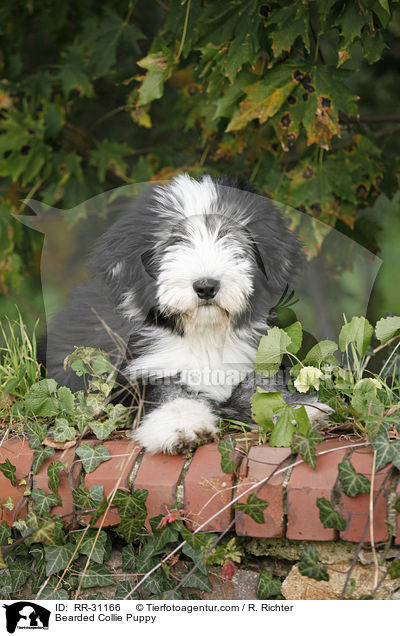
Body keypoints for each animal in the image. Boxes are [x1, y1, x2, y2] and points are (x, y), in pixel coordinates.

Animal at [43, 173, 330, 452]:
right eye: (175, 241)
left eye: (230, 237)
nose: (206, 286)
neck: (204, 333)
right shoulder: (144, 367)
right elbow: (169, 394)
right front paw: (182, 426)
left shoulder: (252, 358)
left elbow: (262, 387)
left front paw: (297, 410)